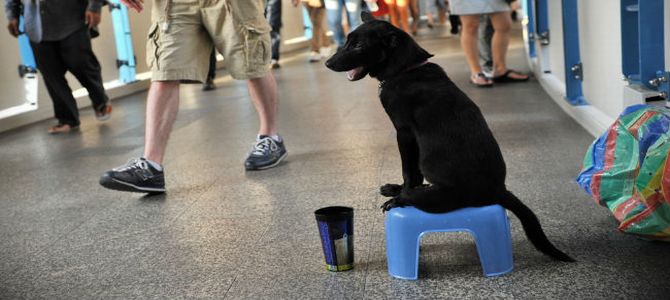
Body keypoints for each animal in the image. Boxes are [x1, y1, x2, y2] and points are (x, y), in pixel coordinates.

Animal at [328, 11, 576, 262]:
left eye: (358, 45)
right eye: (347, 41)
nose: (328, 63)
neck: (406, 69)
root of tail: (500, 190)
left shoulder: (404, 134)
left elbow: (409, 171)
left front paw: (402, 190)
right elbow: (414, 174)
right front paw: (397, 186)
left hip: (441, 196)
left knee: (417, 195)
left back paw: (400, 198)